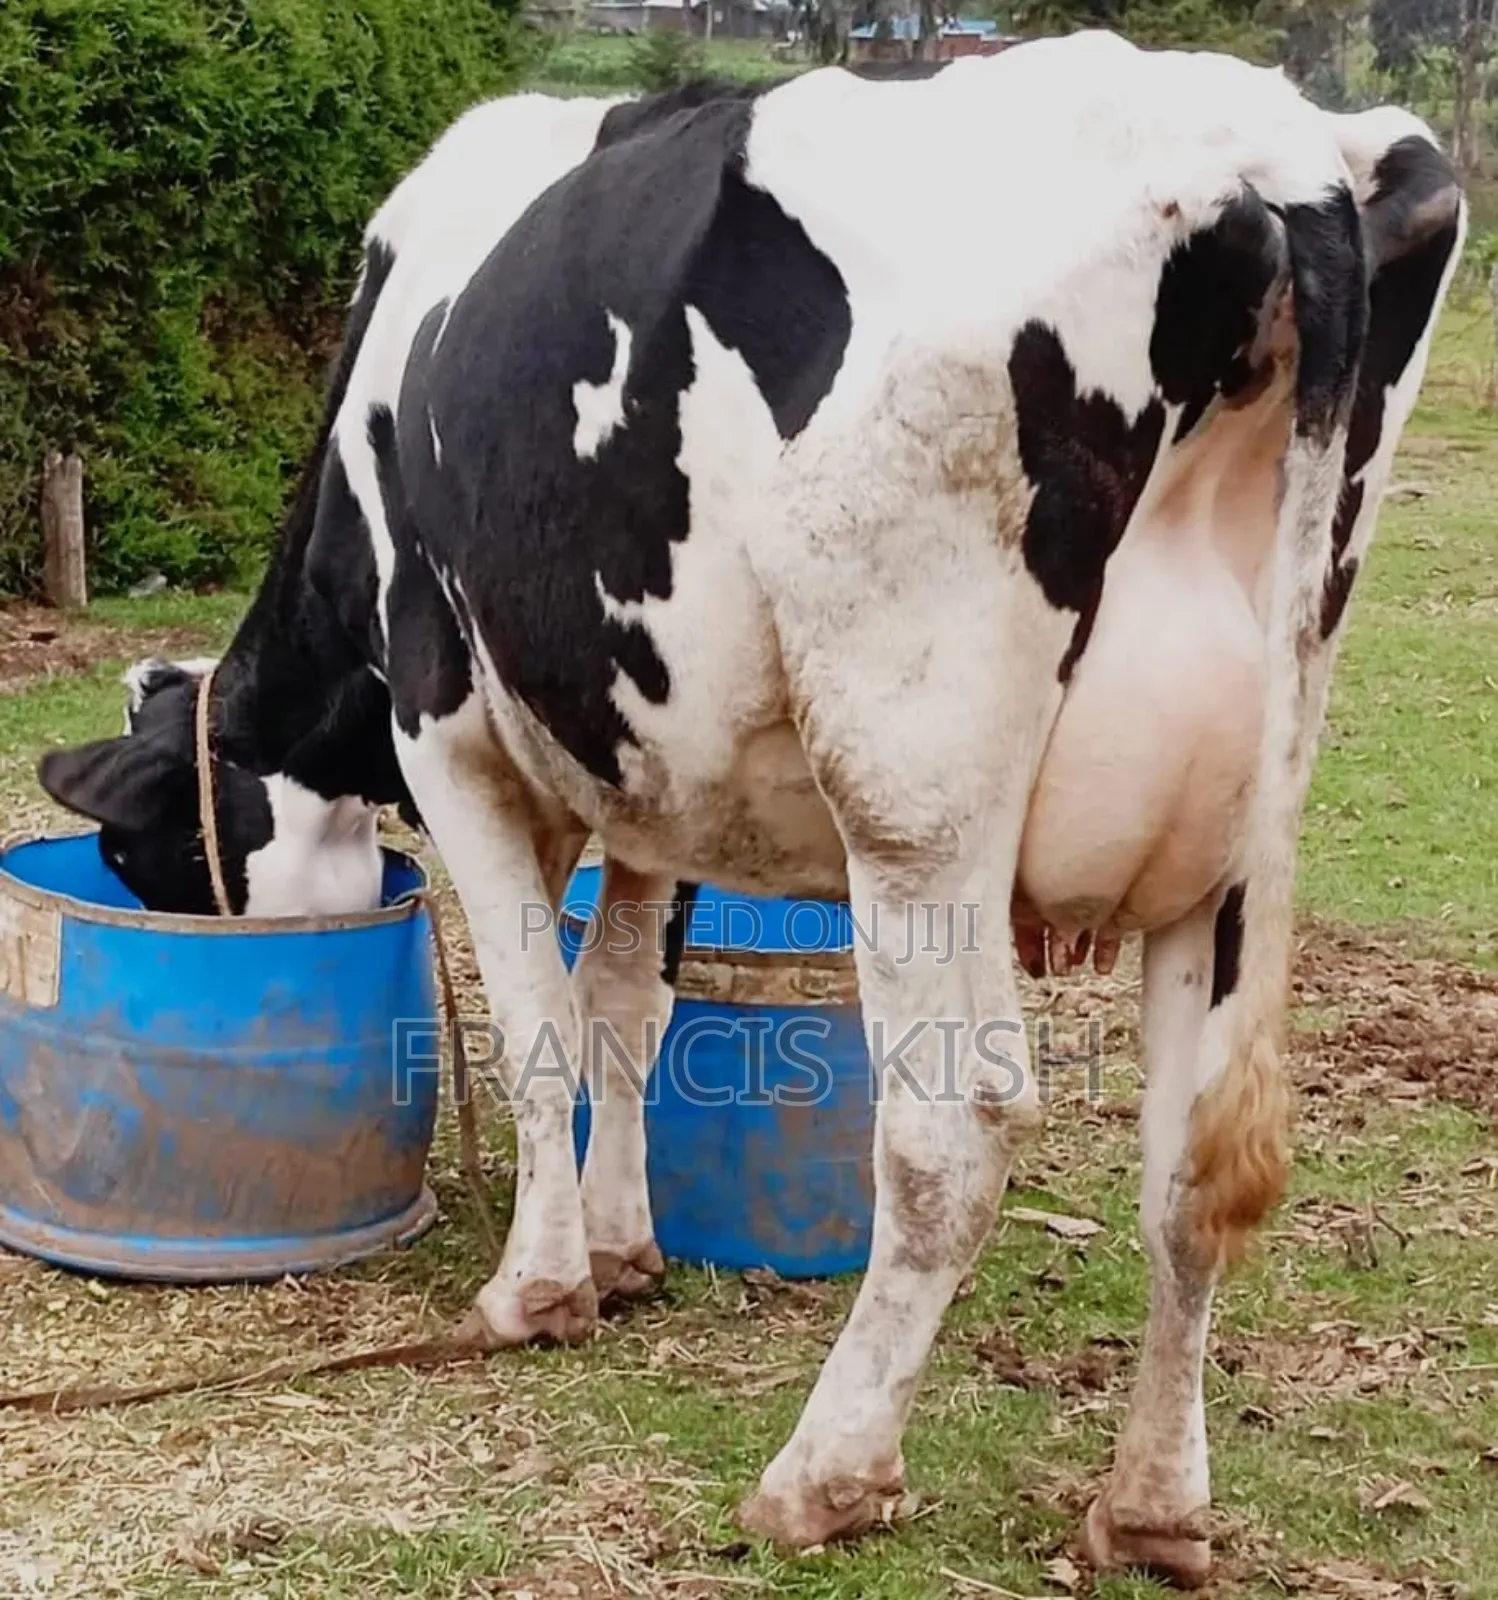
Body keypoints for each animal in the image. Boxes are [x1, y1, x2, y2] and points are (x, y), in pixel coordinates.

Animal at [36, 34, 1465, 1586]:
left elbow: (539, 1023)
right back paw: (1150, 1506)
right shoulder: (650, 774)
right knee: (1191, 1164)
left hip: (915, 789)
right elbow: (624, 1001)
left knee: (954, 1127)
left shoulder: (448, 730)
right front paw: (620, 1250)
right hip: (1243, 820)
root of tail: (1271, 154)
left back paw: (822, 1476)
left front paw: (537, 1289)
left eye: (145, 850)